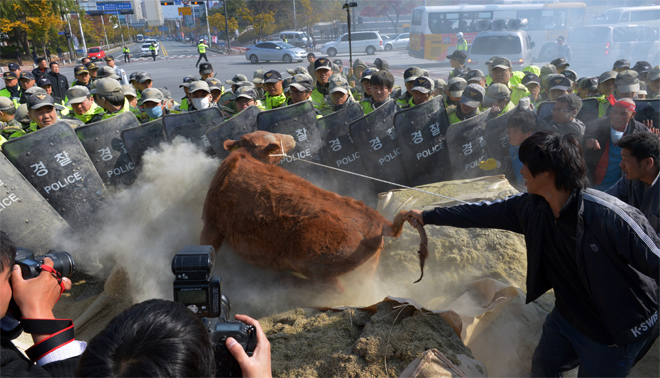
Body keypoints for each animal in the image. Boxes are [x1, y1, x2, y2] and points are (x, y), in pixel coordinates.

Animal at [201, 131, 428, 290]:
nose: (290, 137)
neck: (243, 158)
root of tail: (382, 223)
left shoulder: (211, 225)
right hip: (368, 268)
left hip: (308, 261)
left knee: (334, 289)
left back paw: (286, 281)